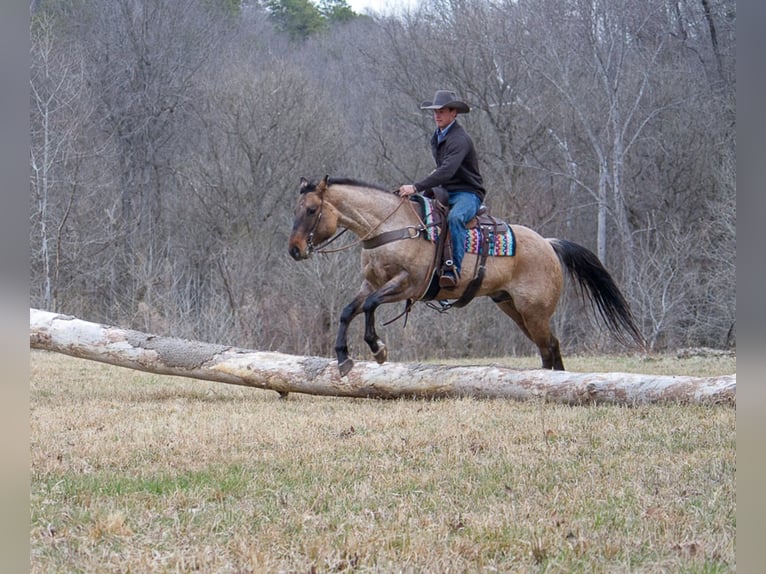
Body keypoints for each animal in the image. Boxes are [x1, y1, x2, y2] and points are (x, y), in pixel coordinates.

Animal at [290, 176, 648, 378]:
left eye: (311, 210)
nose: (294, 250)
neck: (390, 227)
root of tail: (549, 243)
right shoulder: (372, 283)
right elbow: (348, 310)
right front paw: (343, 358)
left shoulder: (407, 285)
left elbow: (369, 307)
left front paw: (378, 349)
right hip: (513, 308)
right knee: (547, 349)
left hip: (534, 312)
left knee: (550, 346)